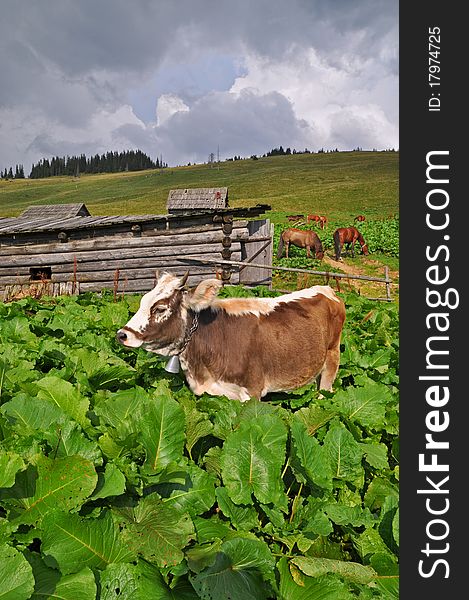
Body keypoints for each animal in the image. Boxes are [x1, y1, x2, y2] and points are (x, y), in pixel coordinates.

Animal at [115, 274, 346, 400]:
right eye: (142, 300)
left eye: (160, 308)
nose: (122, 334)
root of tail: (326, 289)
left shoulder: (251, 392)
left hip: (332, 359)